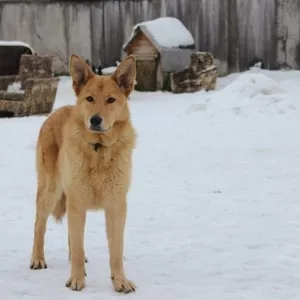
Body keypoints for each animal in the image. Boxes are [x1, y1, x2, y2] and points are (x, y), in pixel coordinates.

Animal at [29, 54, 137, 292]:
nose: (95, 120)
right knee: (39, 225)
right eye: (89, 99)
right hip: (50, 192)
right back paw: (38, 259)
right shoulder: (77, 202)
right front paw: (77, 280)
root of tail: (58, 110)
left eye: (110, 100)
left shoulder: (116, 206)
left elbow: (116, 251)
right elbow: (78, 247)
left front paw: (120, 281)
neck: (99, 149)